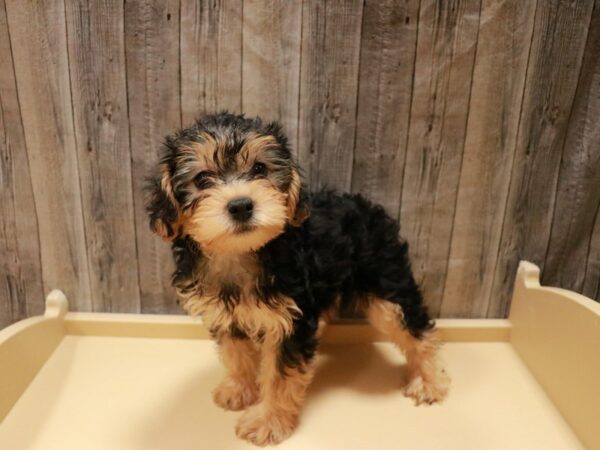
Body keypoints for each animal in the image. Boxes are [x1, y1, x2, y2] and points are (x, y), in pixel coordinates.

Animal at [145, 113, 448, 446]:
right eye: (201, 180)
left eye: (259, 169)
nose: (241, 205)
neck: (242, 252)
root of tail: (368, 206)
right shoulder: (228, 315)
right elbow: (236, 352)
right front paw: (238, 389)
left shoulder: (289, 323)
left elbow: (279, 376)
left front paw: (267, 421)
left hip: (384, 277)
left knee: (413, 327)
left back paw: (430, 381)